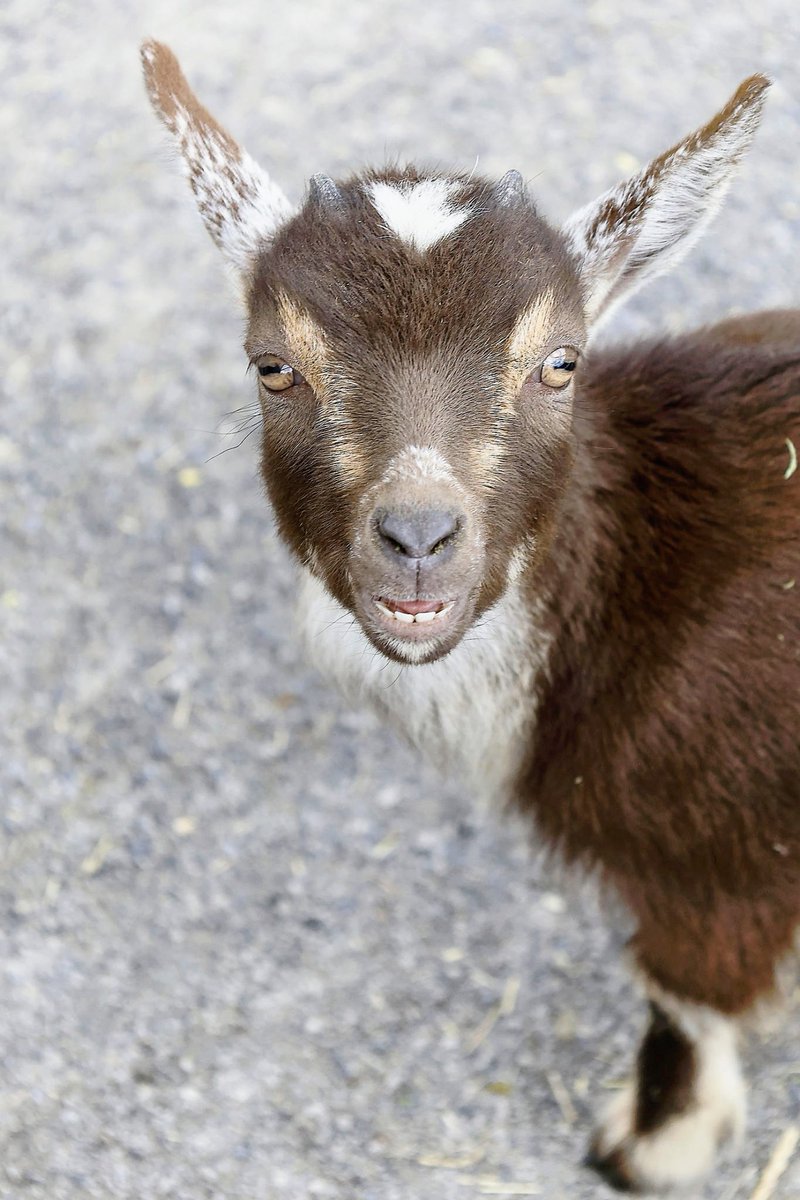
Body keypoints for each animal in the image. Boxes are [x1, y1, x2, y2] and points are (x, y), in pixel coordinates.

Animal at [140, 42, 796, 1195]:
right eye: (273, 366)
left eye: (560, 362)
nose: (416, 536)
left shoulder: (720, 853)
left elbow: (678, 992)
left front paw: (648, 1146)